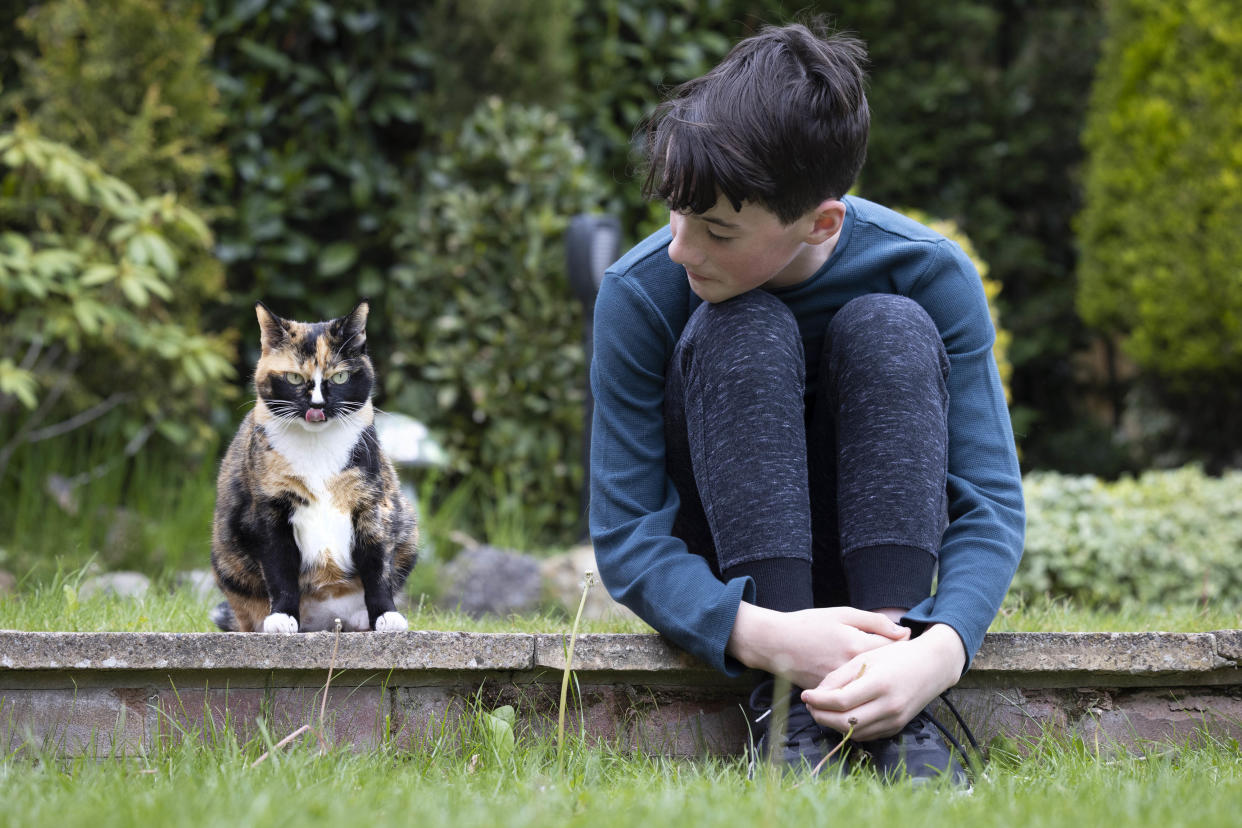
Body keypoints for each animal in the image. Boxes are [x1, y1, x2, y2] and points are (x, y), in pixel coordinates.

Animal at [211, 304, 419, 635]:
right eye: (295, 378)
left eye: (341, 376)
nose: (318, 406)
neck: (317, 448)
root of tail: (326, 621)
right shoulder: (269, 510)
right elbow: (280, 567)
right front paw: (282, 617)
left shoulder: (373, 503)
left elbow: (377, 565)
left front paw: (386, 616)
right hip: (227, 558)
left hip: (408, 522)